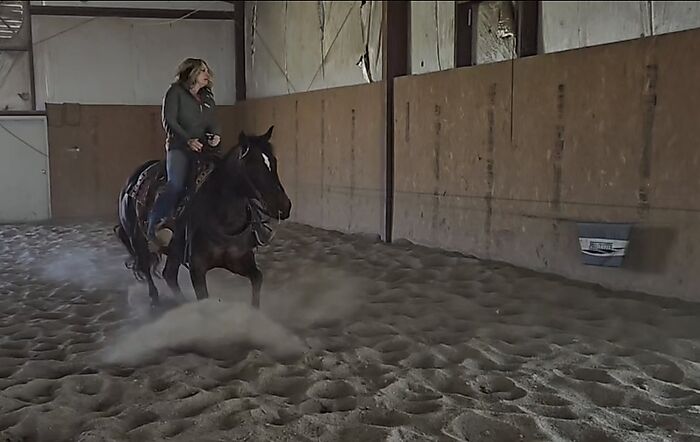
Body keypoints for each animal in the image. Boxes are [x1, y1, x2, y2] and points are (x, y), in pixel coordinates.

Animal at [114, 126, 292, 309]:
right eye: (252, 166)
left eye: (274, 162)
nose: (284, 207)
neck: (223, 220)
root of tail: (133, 179)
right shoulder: (197, 270)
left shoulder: (239, 260)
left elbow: (257, 279)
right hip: (137, 239)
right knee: (146, 268)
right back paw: (155, 298)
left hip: (174, 252)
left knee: (168, 275)